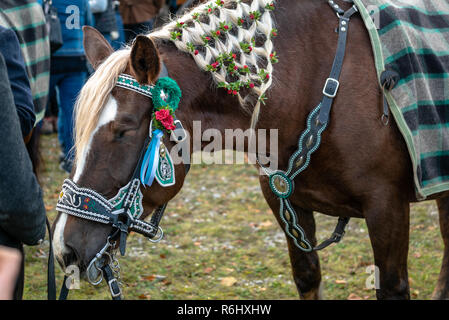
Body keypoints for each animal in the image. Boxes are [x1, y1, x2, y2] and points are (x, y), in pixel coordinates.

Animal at [50, 0, 448, 300]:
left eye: (124, 129)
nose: (64, 249)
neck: (312, 83)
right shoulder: (286, 201)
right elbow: (307, 277)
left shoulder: (386, 207)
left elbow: (393, 287)